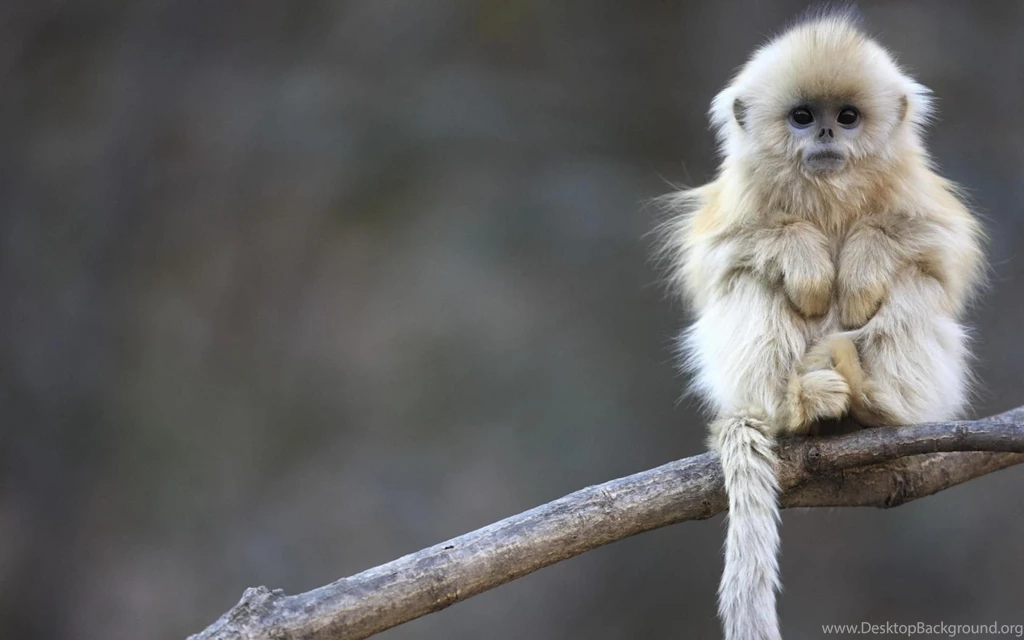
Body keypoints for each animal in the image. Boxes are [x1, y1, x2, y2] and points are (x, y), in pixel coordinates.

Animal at [658, 9, 984, 640]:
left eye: (848, 117)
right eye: (804, 117)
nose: (828, 135)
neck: (829, 192)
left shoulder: (918, 193)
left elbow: (939, 250)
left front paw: (859, 266)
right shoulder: (735, 204)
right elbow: (720, 258)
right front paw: (806, 258)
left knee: (914, 284)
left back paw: (874, 403)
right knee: (752, 282)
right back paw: (797, 406)